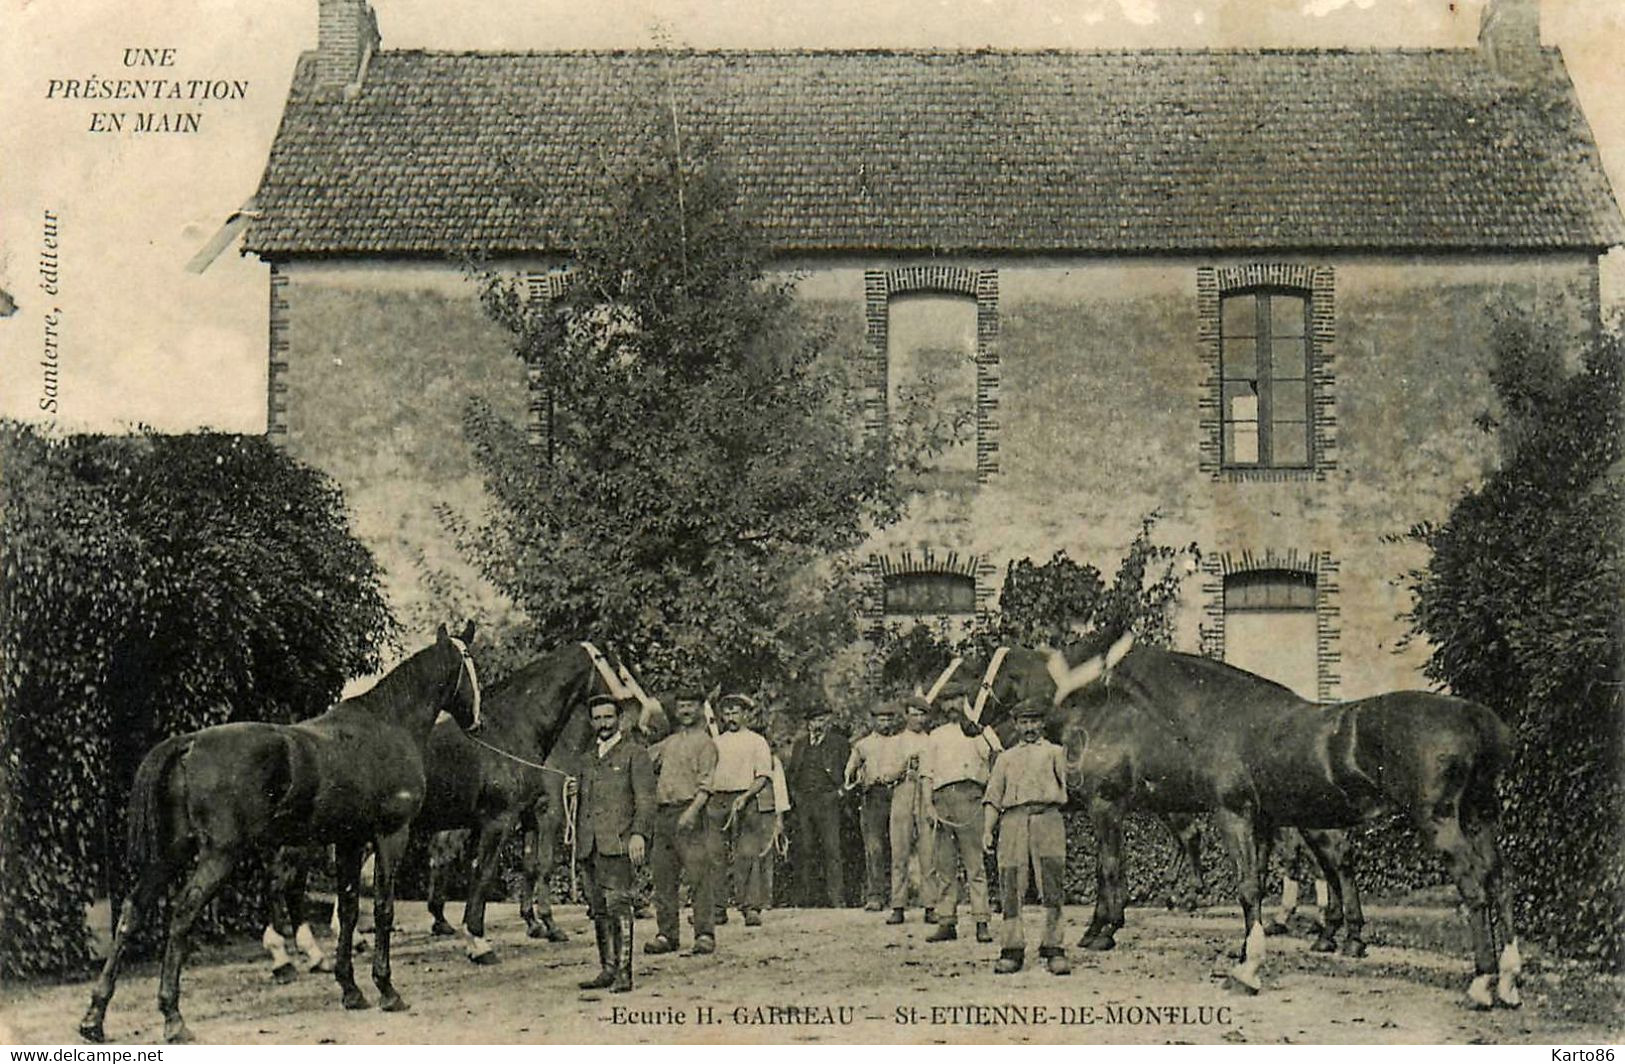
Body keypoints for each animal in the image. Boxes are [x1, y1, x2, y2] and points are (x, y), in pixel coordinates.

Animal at [77, 620, 481, 1046]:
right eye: (469, 666)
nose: (476, 721)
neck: (388, 726)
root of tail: (189, 743)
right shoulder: (391, 835)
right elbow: (382, 909)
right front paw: (386, 989)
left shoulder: (350, 842)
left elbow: (350, 910)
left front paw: (351, 989)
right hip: (219, 855)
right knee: (183, 914)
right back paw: (173, 1016)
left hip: (170, 853)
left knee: (132, 913)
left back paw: (95, 1017)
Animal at [949, 636, 1521, 1013]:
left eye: (977, 674)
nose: (967, 725)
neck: (1224, 717)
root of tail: (1476, 717)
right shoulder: (1260, 822)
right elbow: (1257, 889)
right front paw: (1247, 950)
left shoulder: (1228, 816)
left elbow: (1241, 887)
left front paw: (1245, 969)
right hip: (1479, 820)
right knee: (1499, 883)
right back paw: (1509, 979)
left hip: (1437, 823)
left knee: (1471, 888)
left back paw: (1479, 982)